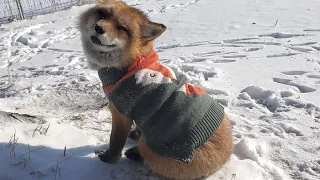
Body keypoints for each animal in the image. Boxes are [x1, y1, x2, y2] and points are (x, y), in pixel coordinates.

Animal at [77, 0, 232, 179]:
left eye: (122, 28)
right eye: (102, 14)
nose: (99, 28)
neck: (129, 64)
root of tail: (225, 158)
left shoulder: (121, 113)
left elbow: (115, 141)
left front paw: (108, 159)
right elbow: (136, 128)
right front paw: (135, 133)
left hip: (151, 147)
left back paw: (135, 154)